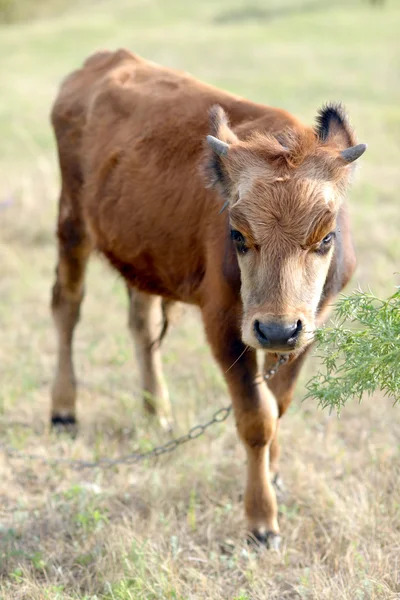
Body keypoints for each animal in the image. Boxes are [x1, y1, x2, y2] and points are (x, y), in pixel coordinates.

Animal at [50, 50, 366, 548]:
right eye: (237, 234)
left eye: (326, 236)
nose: (275, 327)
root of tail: (105, 60)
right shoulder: (224, 324)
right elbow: (256, 417)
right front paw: (261, 520)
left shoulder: (308, 327)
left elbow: (279, 402)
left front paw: (275, 476)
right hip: (72, 224)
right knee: (67, 305)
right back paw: (63, 410)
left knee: (141, 324)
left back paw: (157, 412)